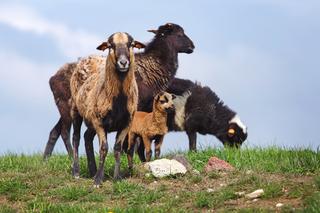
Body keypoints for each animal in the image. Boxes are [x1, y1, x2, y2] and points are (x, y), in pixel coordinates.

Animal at [43, 22, 195, 165]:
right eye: (180, 34)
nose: (192, 46)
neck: (153, 69)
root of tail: (53, 78)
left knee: (55, 131)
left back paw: (46, 158)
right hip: (67, 107)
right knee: (65, 132)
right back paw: (70, 157)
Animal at [71, 31, 145, 186]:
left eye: (131, 44)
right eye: (111, 45)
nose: (123, 62)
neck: (118, 100)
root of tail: (88, 57)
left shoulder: (126, 124)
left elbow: (117, 149)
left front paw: (117, 177)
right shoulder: (99, 122)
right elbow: (104, 149)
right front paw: (98, 180)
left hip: (90, 118)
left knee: (87, 137)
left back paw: (92, 170)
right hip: (75, 109)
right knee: (76, 138)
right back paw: (76, 171)